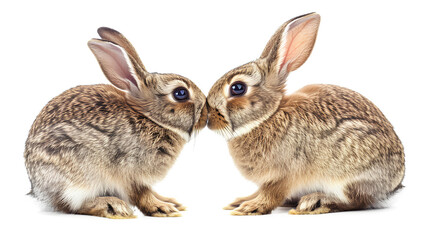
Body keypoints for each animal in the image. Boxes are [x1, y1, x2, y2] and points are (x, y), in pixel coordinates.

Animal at [23, 27, 207, 218]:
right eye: (180, 93)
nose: (206, 112)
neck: (151, 119)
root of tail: (38, 188)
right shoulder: (130, 172)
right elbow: (141, 194)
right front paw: (162, 208)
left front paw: (170, 202)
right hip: (77, 176)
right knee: (71, 206)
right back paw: (112, 205)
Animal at [206, 12, 402, 216]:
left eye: (237, 88)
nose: (208, 117)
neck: (268, 116)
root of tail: (393, 185)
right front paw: (240, 202)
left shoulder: (284, 175)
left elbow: (272, 194)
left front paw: (251, 208)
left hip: (348, 176)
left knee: (356, 201)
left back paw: (315, 202)